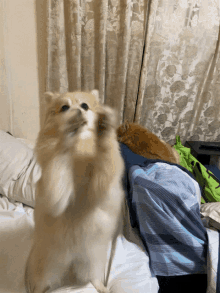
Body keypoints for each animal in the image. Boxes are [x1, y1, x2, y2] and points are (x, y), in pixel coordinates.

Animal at [24, 90, 124, 292]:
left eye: (85, 105)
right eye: (64, 107)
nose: (78, 111)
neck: (80, 150)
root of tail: (71, 264)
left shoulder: (99, 188)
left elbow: (105, 153)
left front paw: (104, 129)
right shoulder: (55, 195)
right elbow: (60, 154)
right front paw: (68, 133)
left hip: (93, 260)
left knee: (92, 277)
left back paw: (101, 286)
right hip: (46, 267)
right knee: (40, 284)